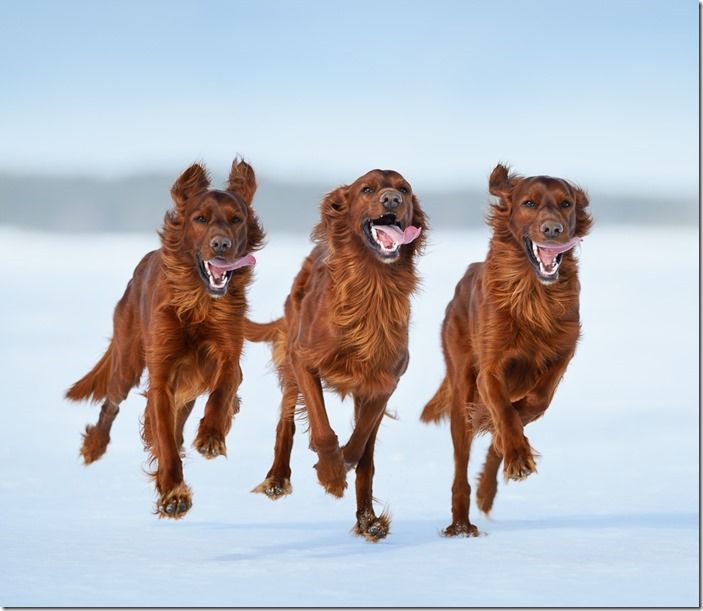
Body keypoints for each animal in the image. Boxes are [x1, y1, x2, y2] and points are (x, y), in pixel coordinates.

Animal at [65, 158, 264, 516]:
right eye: (200, 219)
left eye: (236, 219)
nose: (221, 245)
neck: (198, 303)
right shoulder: (161, 375)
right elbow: (164, 438)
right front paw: (173, 492)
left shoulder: (228, 355)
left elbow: (222, 390)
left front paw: (212, 435)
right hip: (127, 362)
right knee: (111, 404)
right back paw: (93, 446)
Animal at [245, 169, 426, 540]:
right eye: (367, 189)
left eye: (404, 190)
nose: (391, 200)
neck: (373, 285)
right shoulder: (304, 361)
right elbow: (323, 430)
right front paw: (330, 475)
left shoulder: (384, 382)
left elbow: (360, 447)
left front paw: (344, 470)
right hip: (291, 363)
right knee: (285, 422)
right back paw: (277, 478)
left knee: (366, 455)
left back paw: (368, 520)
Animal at [420, 164, 592, 536]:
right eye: (528, 203)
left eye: (566, 203)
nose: (553, 229)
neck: (533, 293)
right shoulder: (490, 370)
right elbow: (502, 410)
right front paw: (517, 453)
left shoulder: (562, 352)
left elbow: (532, 404)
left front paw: (514, 448)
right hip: (461, 390)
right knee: (461, 467)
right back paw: (461, 523)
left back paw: (489, 487)